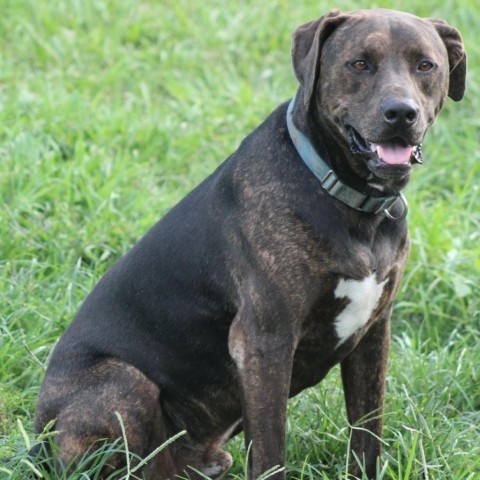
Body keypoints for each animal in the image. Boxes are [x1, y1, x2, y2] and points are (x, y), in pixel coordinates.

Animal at [35, 8, 466, 480]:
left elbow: (367, 436)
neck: (344, 196)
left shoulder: (374, 334)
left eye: (425, 65)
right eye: (359, 64)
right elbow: (271, 450)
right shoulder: (264, 341)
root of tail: (36, 441)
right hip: (122, 383)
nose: (401, 113)